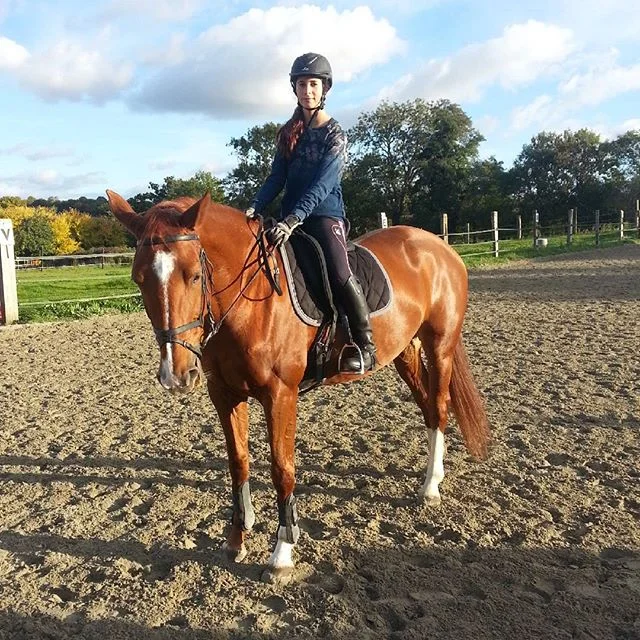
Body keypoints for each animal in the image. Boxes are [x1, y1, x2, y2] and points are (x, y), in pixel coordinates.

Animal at [106, 190, 490, 584]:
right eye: (138, 279)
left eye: (195, 276)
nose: (176, 375)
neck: (250, 303)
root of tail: (436, 245)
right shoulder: (225, 395)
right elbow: (238, 463)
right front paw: (236, 540)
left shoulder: (280, 395)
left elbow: (282, 470)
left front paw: (282, 555)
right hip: (405, 351)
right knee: (428, 407)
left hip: (439, 346)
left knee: (440, 406)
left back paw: (430, 488)